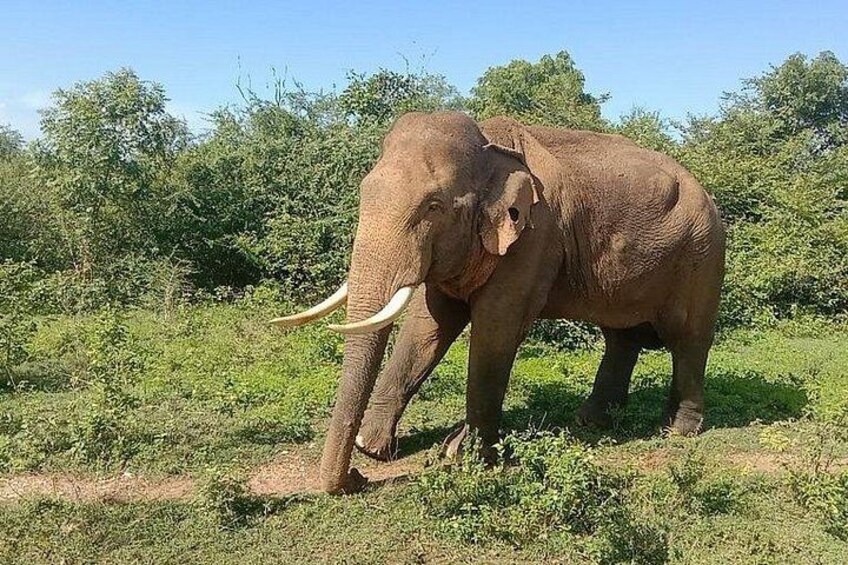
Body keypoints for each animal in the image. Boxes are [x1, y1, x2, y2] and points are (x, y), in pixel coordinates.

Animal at [273, 111, 725, 494]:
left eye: (433, 207)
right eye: (364, 191)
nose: (356, 477)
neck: (489, 146)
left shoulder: (535, 236)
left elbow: (496, 328)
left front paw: (462, 454)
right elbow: (428, 323)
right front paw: (374, 446)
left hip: (703, 254)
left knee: (688, 339)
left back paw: (677, 430)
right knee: (622, 338)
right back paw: (591, 420)